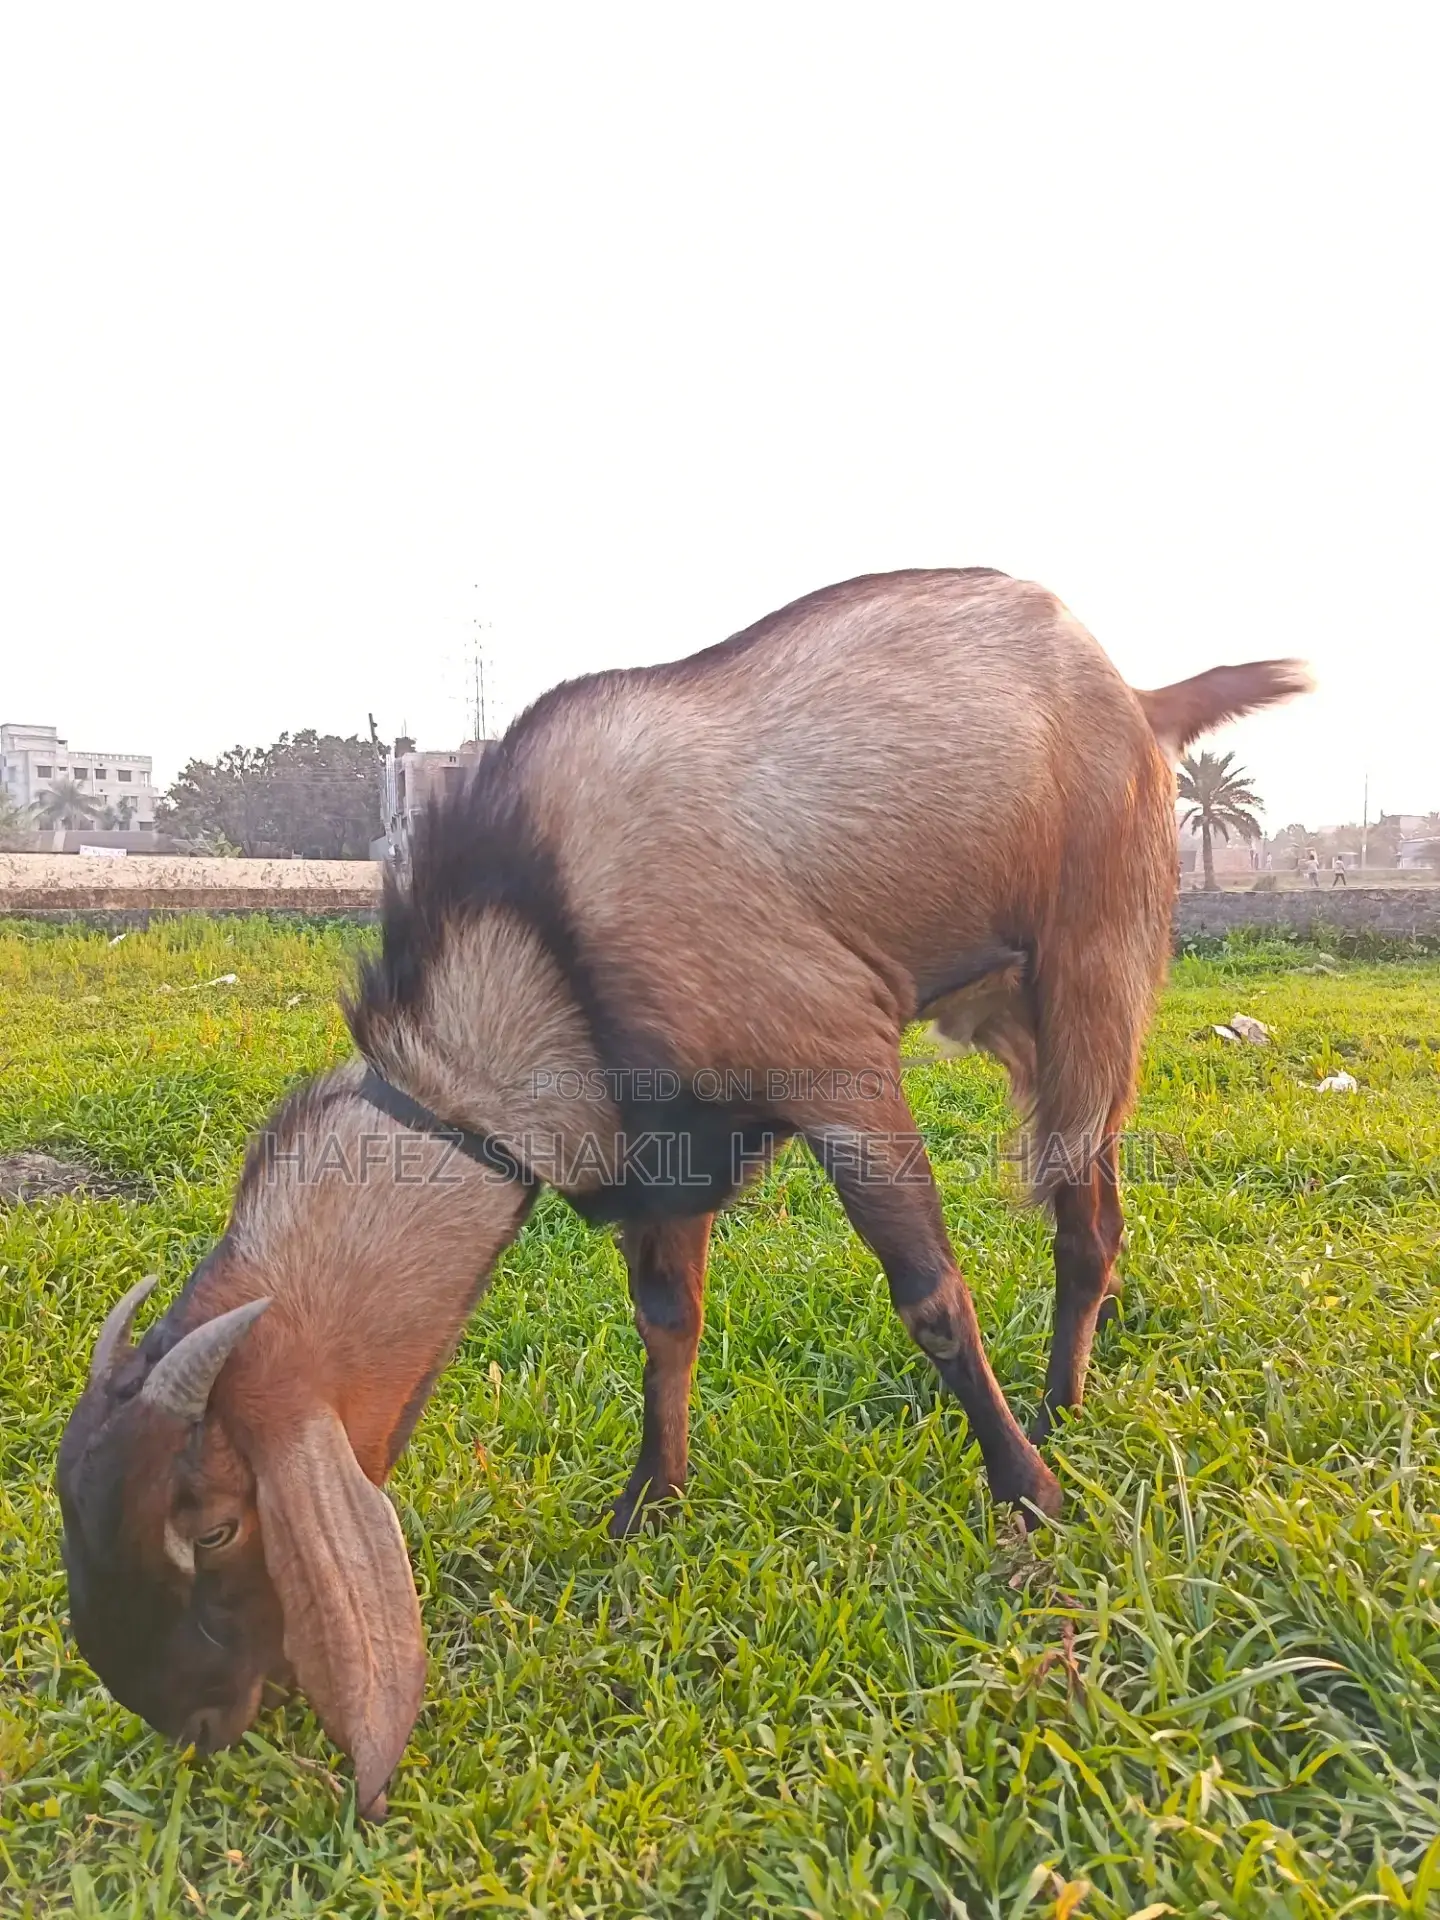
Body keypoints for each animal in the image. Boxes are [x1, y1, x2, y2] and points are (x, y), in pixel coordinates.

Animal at [57, 568, 1309, 1815]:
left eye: (215, 1525)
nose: (188, 1723)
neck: (537, 949)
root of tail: (1140, 699)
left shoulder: (837, 1059)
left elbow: (932, 1301)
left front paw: (1026, 1496)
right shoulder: (655, 1158)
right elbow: (668, 1325)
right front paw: (647, 1506)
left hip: (1094, 953)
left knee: (1084, 1215)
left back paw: (1058, 1413)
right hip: (1005, 1003)